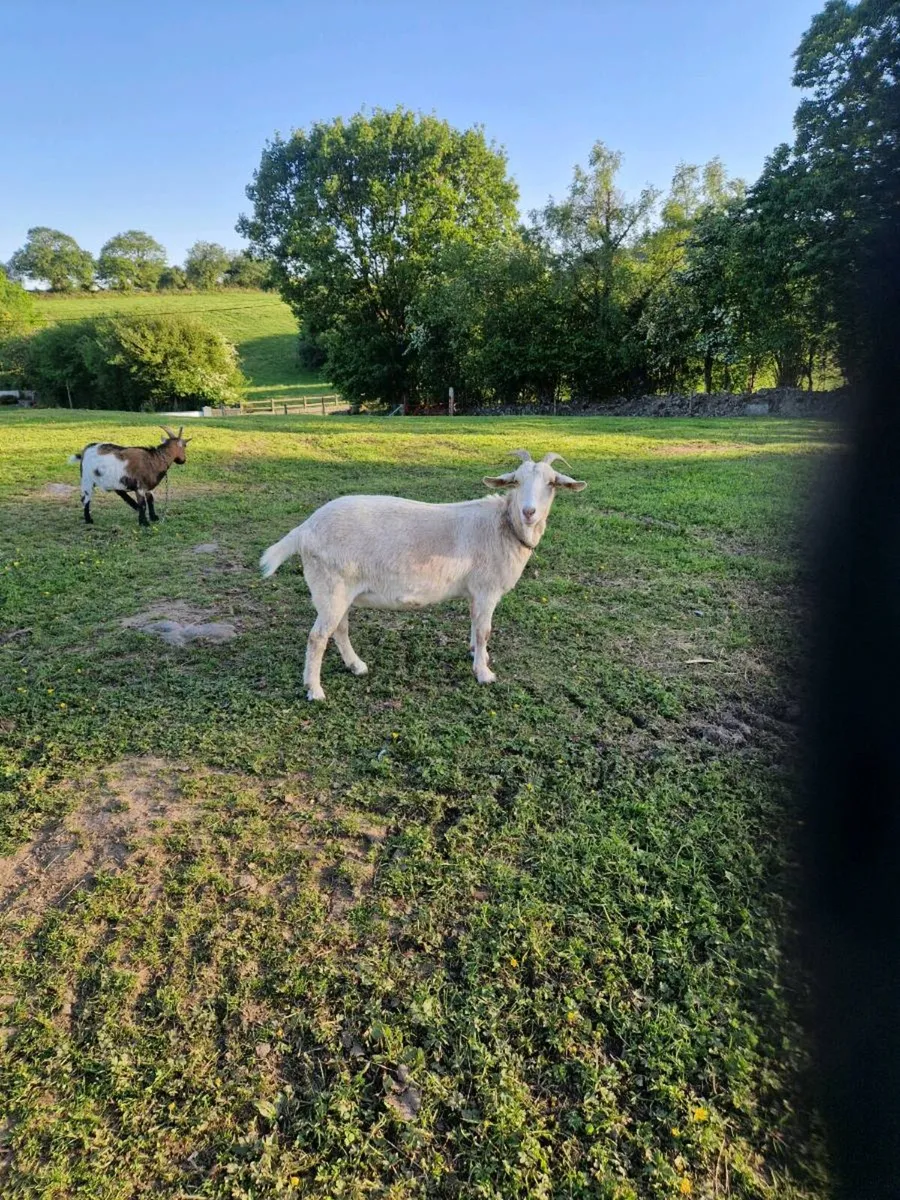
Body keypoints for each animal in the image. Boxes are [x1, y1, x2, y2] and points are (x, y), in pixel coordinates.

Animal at [259, 450, 587, 700]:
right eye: (516, 481)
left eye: (551, 482)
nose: (529, 512)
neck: (503, 527)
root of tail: (305, 529)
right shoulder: (487, 588)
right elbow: (485, 630)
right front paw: (484, 673)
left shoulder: (475, 591)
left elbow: (474, 624)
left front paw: (476, 654)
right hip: (330, 586)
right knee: (317, 637)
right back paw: (315, 690)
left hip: (337, 591)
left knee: (338, 629)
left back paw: (356, 666)